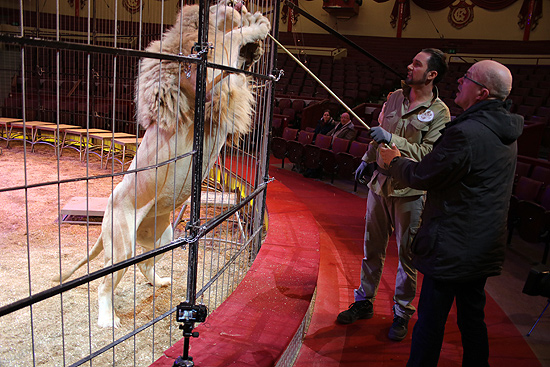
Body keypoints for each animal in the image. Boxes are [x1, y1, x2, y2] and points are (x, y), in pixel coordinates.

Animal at [56, 0, 272, 328]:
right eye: (218, 5)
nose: (237, 3)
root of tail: (106, 212)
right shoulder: (202, 83)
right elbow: (231, 38)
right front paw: (257, 26)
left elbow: (235, 58)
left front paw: (254, 43)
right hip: (122, 247)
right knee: (104, 284)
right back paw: (108, 320)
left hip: (164, 236)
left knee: (145, 266)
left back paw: (159, 282)